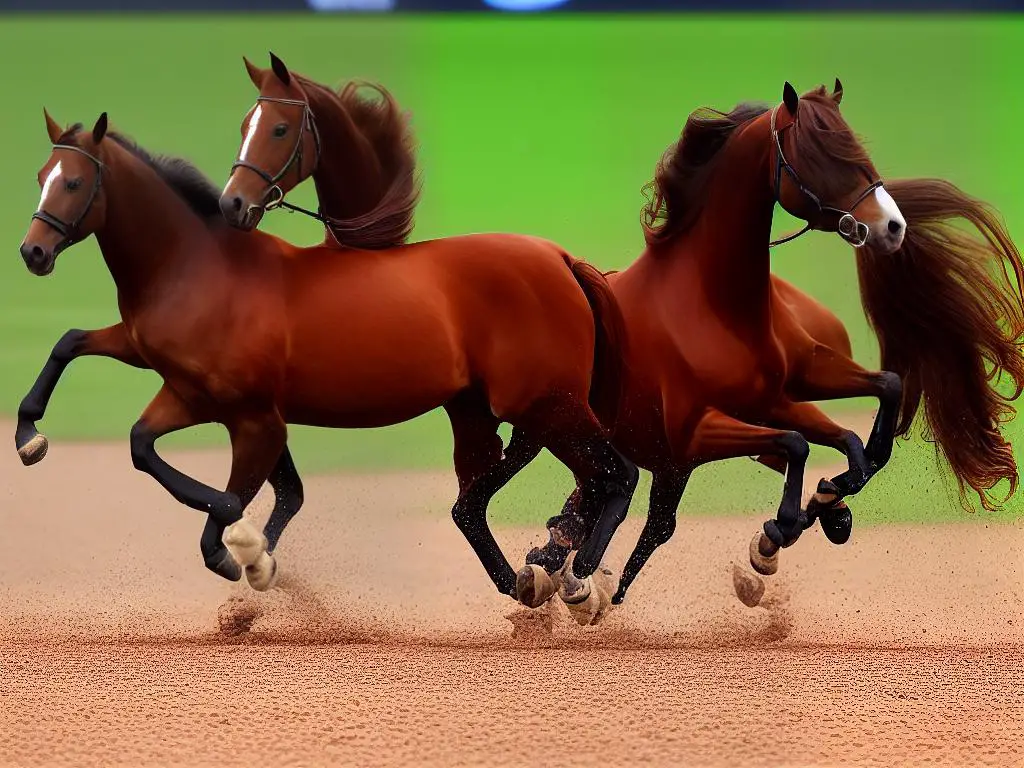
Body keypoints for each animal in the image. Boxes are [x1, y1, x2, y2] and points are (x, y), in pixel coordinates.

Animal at [16, 109, 634, 606]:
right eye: (41, 178)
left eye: (74, 182)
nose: (33, 252)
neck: (199, 269)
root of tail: (560, 259)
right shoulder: (189, 391)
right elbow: (117, 408)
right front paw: (29, 436)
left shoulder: (250, 418)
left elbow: (234, 505)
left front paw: (242, 551)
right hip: (486, 409)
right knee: (482, 501)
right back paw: (532, 579)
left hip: (546, 404)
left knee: (614, 474)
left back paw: (580, 579)